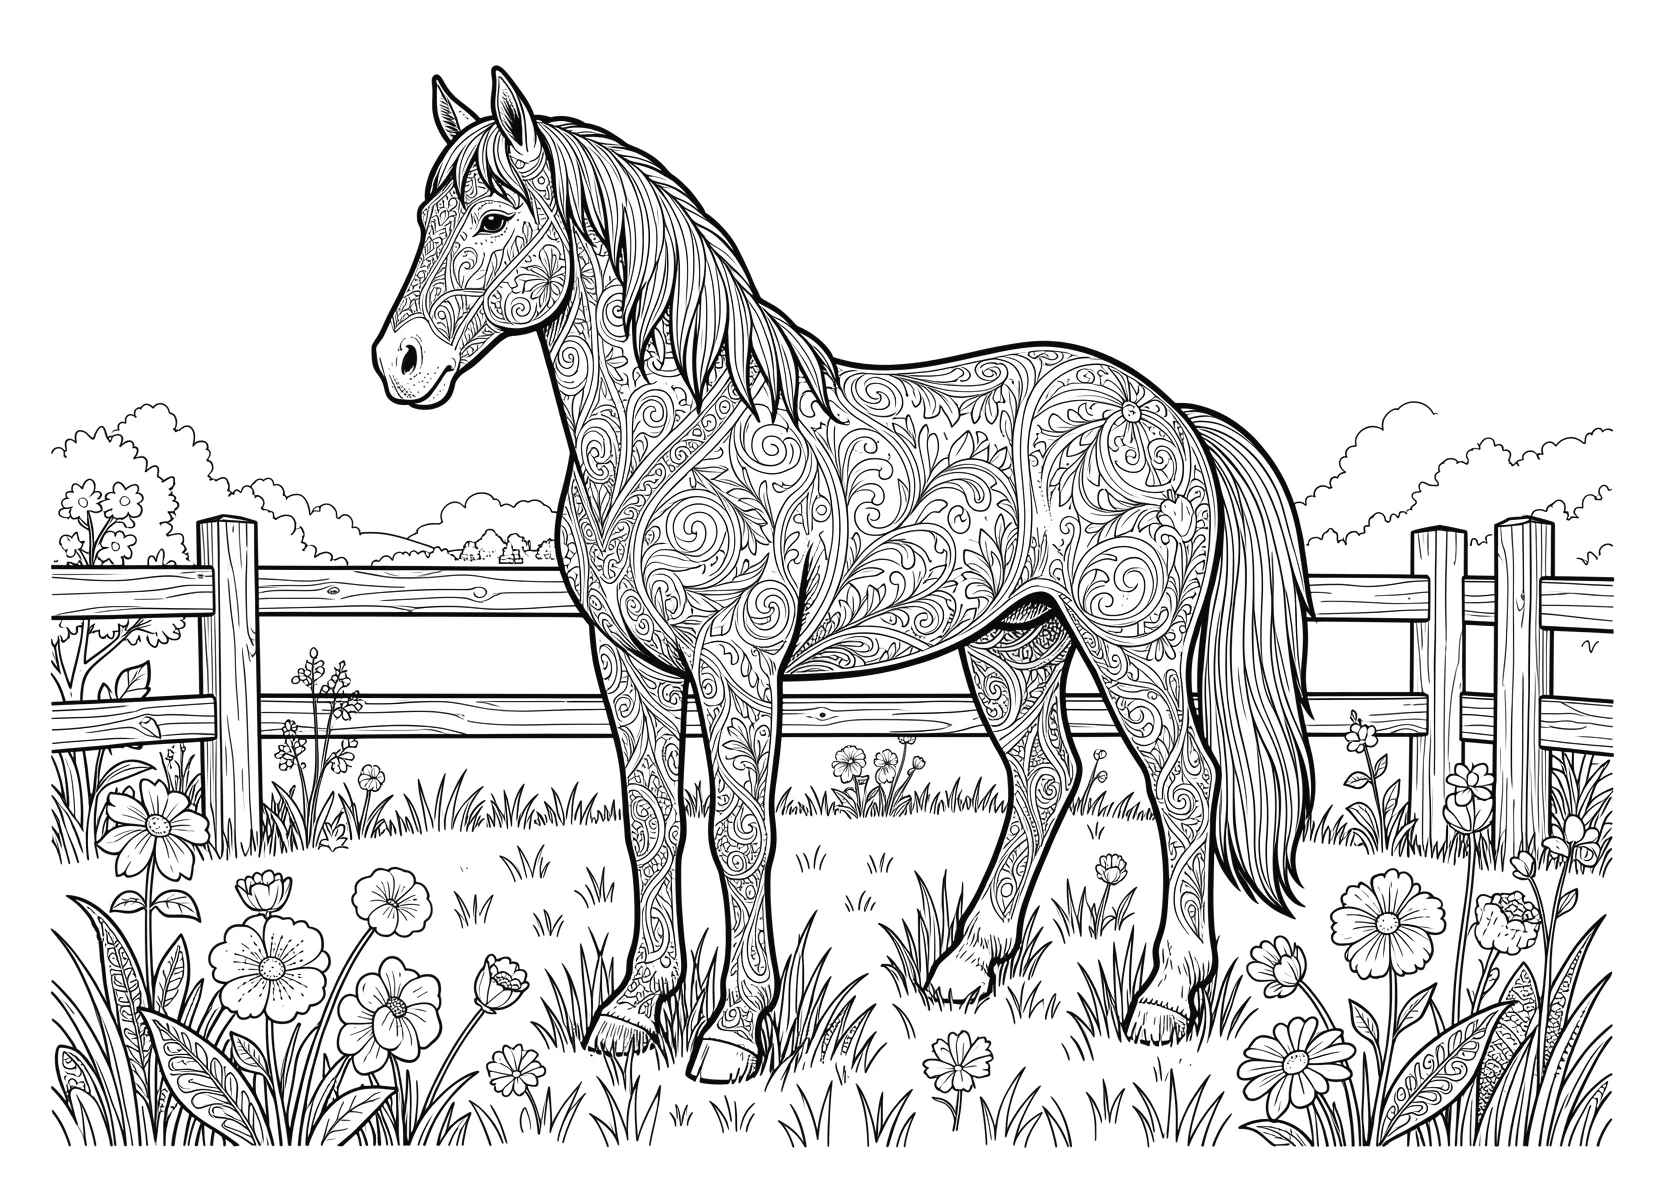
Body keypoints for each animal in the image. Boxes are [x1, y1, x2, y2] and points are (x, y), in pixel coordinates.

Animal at [373, 69, 1315, 1084]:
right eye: (422, 219)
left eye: (494, 218)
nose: (400, 362)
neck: (661, 441)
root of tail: (1173, 415)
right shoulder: (630, 664)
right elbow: (652, 826)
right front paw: (632, 1012)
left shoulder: (736, 664)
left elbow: (740, 835)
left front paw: (733, 1031)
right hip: (1015, 643)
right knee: (1044, 775)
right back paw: (965, 967)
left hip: (1131, 645)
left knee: (1185, 785)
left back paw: (1165, 999)